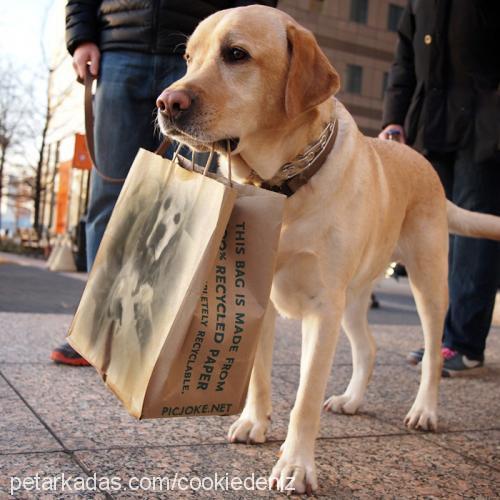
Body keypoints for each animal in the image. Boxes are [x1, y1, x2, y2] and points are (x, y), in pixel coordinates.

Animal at [156, 4, 500, 496]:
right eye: (188, 57)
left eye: (236, 54)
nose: (166, 103)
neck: (282, 184)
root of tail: (421, 160)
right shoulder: (264, 297)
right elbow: (258, 376)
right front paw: (254, 423)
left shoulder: (322, 307)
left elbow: (305, 397)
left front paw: (296, 465)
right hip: (353, 298)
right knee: (369, 347)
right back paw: (352, 399)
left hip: (427, 282)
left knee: (433, 354)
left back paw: (425, 410)